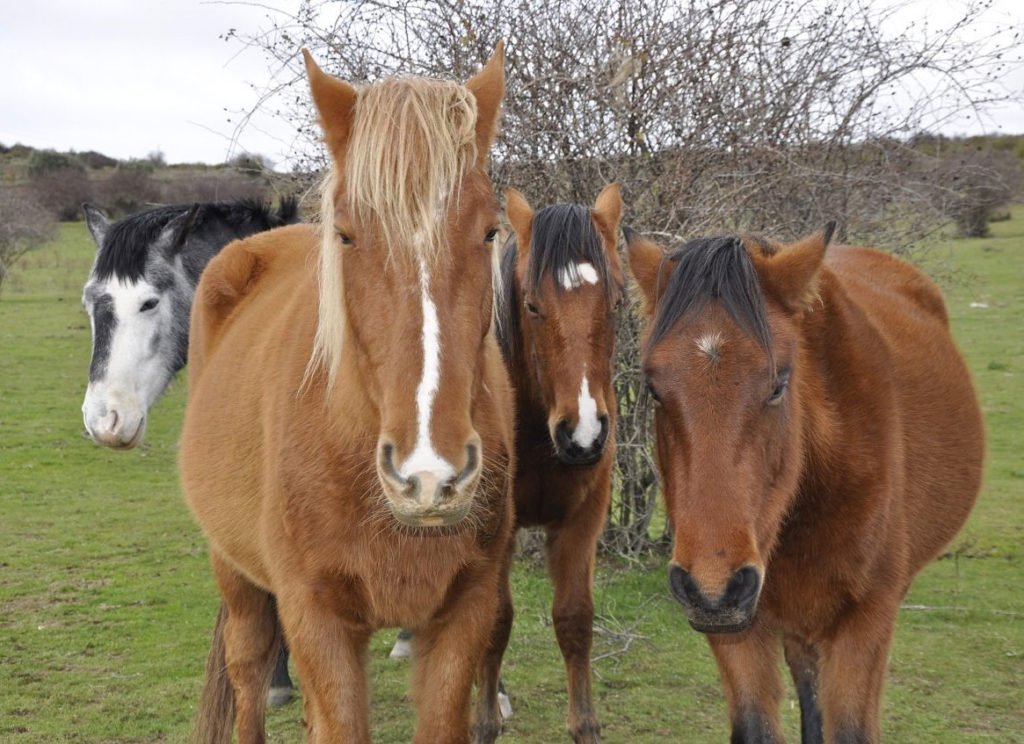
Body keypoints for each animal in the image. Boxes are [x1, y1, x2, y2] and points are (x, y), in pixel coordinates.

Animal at [179, 43, 513, 744]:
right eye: (348, 235)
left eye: (490, 231)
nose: (429, 477)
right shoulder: (317, 621)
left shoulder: (461, 617)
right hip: (235, 575)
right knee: (249, 672)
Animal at [476, 185, 625, 744]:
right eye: (532, 306)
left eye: (617, 300)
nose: (582, 435)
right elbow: (496, 621)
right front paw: (483, 721)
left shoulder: (583, 520)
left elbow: (575, 620)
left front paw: (584, 724)